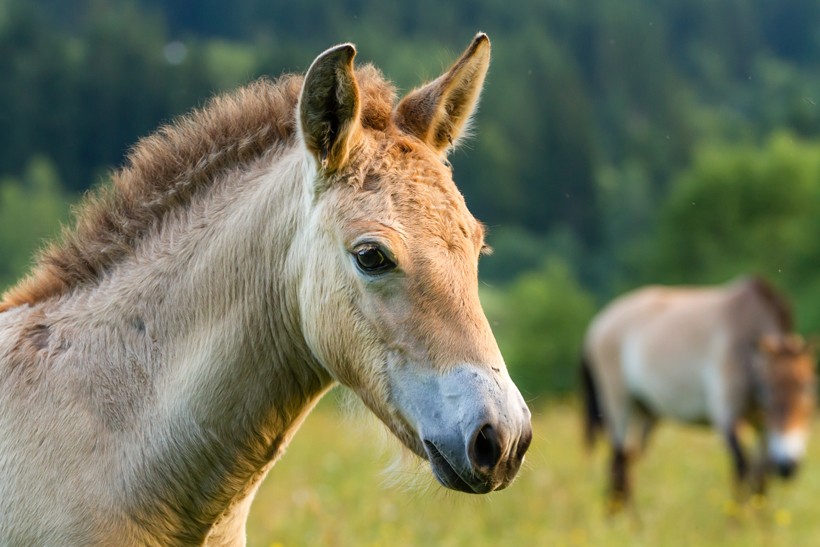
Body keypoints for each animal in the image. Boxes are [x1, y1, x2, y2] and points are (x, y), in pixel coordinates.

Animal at [580, 278, 816, 510]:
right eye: (768, 389)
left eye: (808, 389)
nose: (788, 466)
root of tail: (598, 326)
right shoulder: (727, 416)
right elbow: (742, 468)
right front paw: (738, 520)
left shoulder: (762, 424)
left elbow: (760, 478)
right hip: (619, 406)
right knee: (619, 462)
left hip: (644, 413)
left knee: (626, 462)